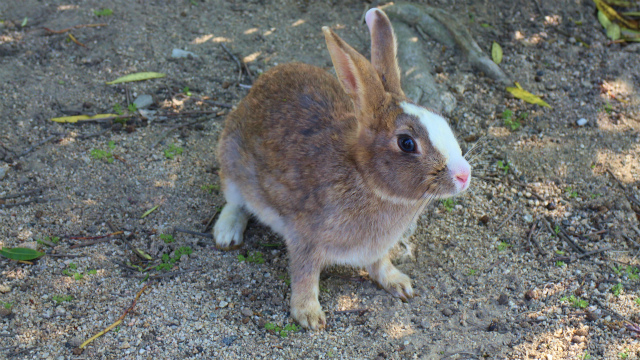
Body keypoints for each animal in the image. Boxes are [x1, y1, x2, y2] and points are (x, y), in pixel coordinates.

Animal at [214, 8, 470, 330]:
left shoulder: (376, 248)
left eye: (443, 121)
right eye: (407, 143)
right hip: (231, 161)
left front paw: (399, 283)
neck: (364, 177)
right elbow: (304, 275)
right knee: (234, 201)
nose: (464, 175)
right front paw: (309, 315)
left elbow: (380, 264)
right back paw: (226, 234)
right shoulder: (304, 238)